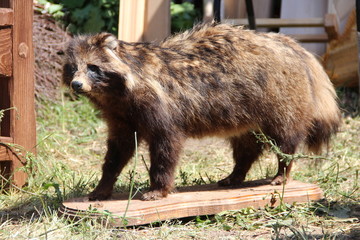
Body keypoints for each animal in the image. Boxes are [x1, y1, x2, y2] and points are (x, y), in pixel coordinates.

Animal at [62, 23, 340, 201]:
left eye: (93, 67)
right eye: (74, 67)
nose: (77, 85)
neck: (113, 93)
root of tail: (290, 43)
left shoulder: (160, 107)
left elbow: (166, 147)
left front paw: (159, 186)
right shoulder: (120, 116)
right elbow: (119, 150)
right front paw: (103, 185)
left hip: (282, 98)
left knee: (285, 137)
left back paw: (283, 169)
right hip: (245, 111)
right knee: (246, 145)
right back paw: (237, 173)